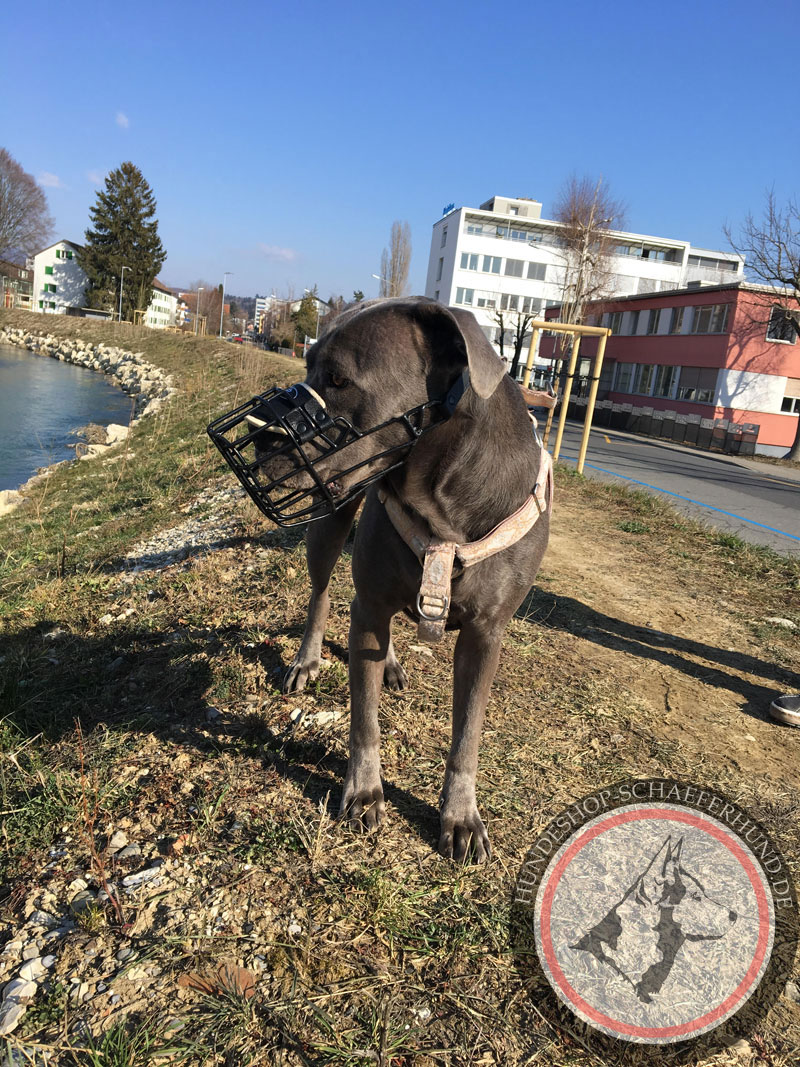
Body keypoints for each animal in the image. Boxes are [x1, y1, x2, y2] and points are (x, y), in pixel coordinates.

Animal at [277, 296, 550, 862]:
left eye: (338, 378)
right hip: (328, 525)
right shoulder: (370, 604)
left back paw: (391, 663)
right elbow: (364, 718)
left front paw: (459, 815)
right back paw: (308, 660)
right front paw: (363, 791)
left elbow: (467, 734)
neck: (442, 499)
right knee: (321, 593)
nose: (265, 439)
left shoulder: (485, 635)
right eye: (308, 365)